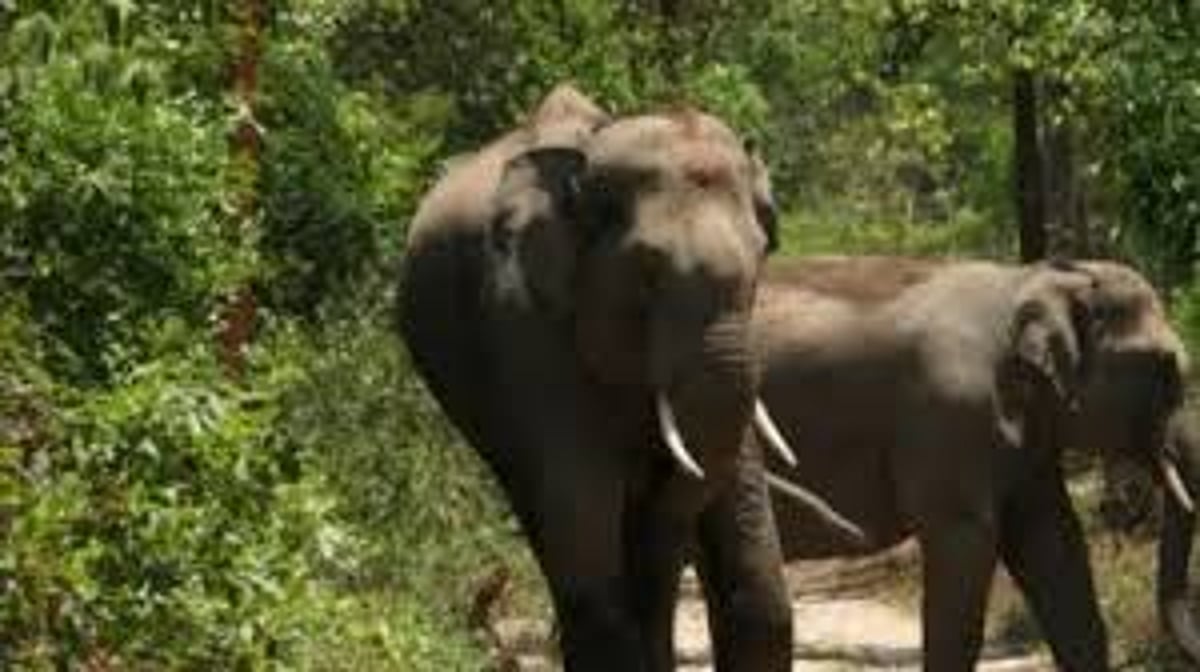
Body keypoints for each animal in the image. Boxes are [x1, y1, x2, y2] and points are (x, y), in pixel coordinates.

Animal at [750, 255, 1198, 671]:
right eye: (1166, 367)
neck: (1034, 278)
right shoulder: (952, 415)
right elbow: (966, 541)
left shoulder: (1027, 435)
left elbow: (1054, 541)